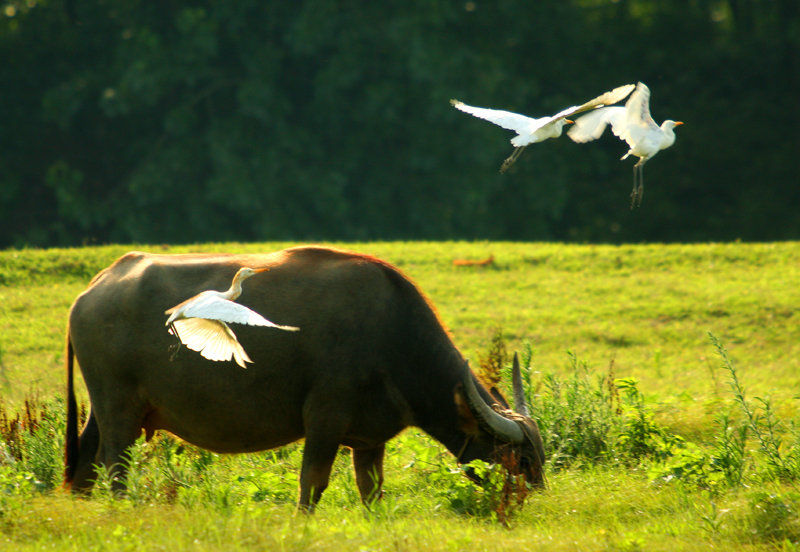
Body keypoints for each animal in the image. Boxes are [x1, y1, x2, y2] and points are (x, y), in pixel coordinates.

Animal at [65, 246, 548, 508]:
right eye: (520, 459)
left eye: (540, 456)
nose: (537, 493)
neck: (391, 332)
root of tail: (92, 290)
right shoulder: (325, 418)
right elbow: (312, 483)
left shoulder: (369, 439)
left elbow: (371, 490)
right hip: (119, 413)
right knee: (115, 468)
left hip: (104, 414)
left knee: (85, 466)